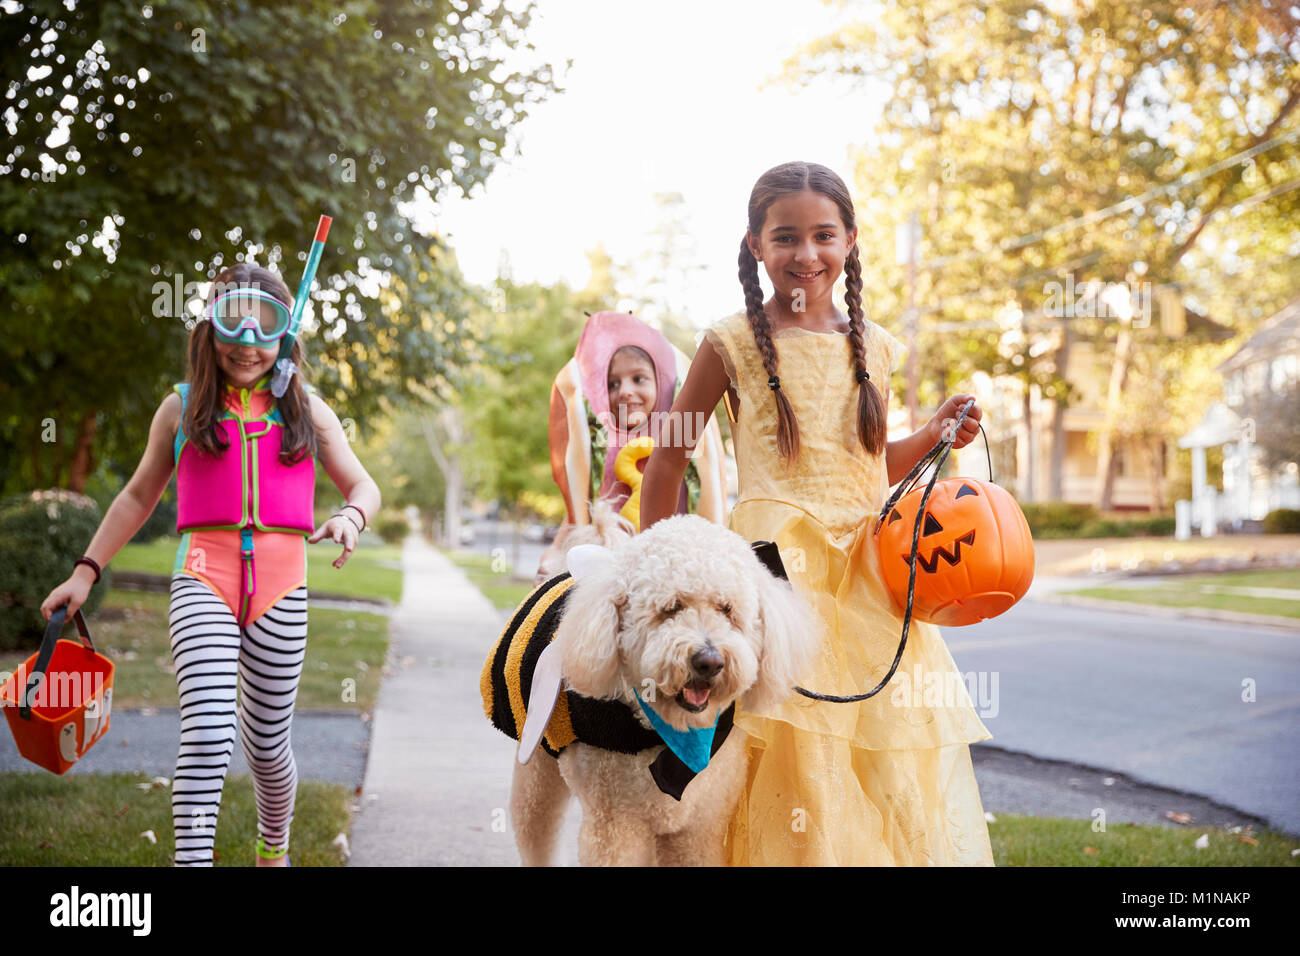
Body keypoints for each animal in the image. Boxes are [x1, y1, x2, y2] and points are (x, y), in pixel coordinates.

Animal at [512, 515, 816, 868]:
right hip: (536, 772)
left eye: (726, 609)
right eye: (671, 608)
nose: (709, 661)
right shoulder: (616, 827)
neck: (669, 734)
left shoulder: (699, 829)